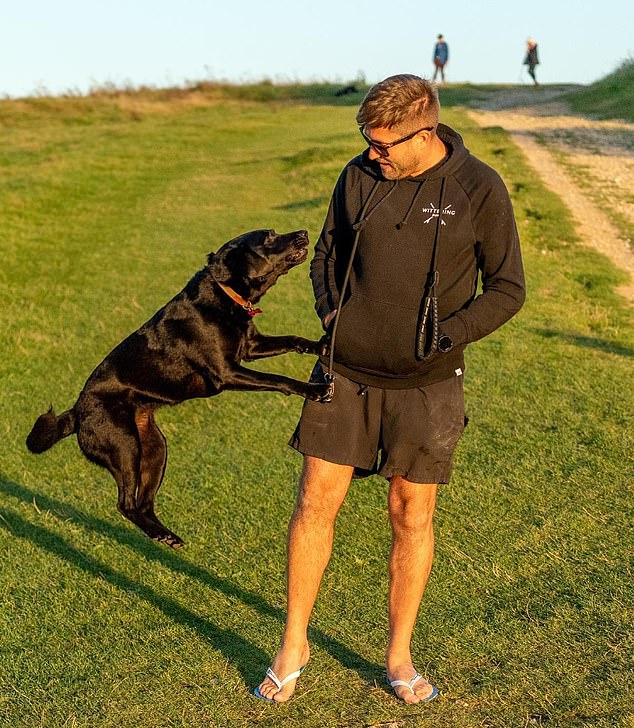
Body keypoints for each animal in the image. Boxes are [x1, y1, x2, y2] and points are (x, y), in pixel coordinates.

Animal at [26, 229, 328, 544]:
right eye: (269, 237)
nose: (304, 232)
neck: (223, 294)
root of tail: (76, 412)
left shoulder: (251, 347)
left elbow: (292, 339)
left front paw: (320, 344)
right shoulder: (228, 373)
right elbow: (278, 379)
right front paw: (315, 389)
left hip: (155, 448)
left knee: (143, 503)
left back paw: (166, 536)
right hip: (125, 446)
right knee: (126, 503)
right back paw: (160, 534)